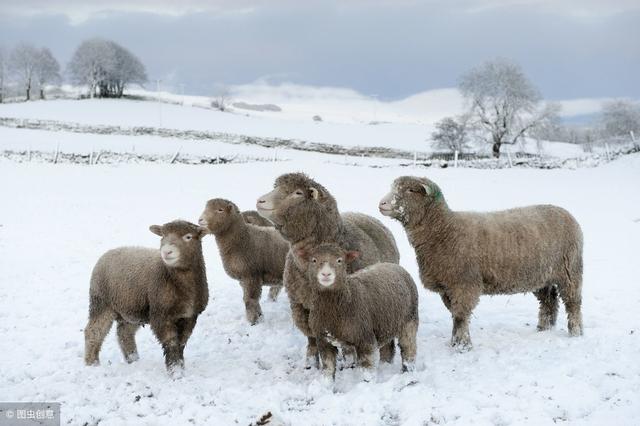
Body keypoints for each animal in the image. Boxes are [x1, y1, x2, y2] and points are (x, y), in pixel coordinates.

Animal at [84, 221, 209, 374]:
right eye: (163, 236)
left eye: (188, 236)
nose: (166, 252)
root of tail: (108, 252)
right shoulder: (160, 315)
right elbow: (171, 343)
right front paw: (175, 371)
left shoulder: (190, 316)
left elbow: (181, 342)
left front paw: (180, 366)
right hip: (101, 302)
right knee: (93, 331)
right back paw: (92, 363)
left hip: (131, 309)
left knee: (124, 332)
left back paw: (132, 358)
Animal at [256, 172, 400, 366]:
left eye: (298, 193)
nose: (260, 201)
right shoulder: (300, 305)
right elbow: (311, 336)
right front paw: (311, 361)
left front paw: (347, 360)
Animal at [298, 245, 418, 382]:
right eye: (314, 260)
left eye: (340, 260)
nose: (326, 274)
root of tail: (393, 265)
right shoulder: (323, 340)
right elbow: (328, 367)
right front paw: (326, 384)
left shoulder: (365, 338)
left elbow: (367, 368)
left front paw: (367, 383)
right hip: (386, 322)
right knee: (388, 347)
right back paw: (385, 365)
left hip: (410, 319)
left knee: (408, 347)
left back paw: (408, 373)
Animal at [380, 176, 584, 350]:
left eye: (411, 190)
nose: (382, 203)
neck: (444, 230)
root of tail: (566, 213)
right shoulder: (448, 286)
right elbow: (455, 315)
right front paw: (455, 343)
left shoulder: (464, 284)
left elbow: (460, 316)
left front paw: (462, 346)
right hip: (542, 275)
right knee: (548, 301)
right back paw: (543, 328)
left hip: (570, 270)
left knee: (573, 302)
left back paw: (575, 332)